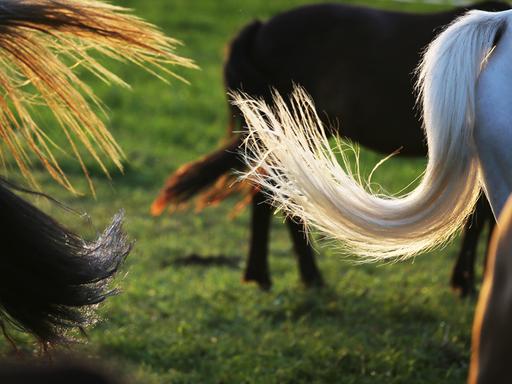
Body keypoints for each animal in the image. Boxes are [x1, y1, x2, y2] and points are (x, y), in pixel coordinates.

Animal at [150, 0, 506, 294]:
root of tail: (259, 28)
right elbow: (482, 219)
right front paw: (466, 283)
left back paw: (266, 276)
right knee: (277, 197)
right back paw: (302, 278)